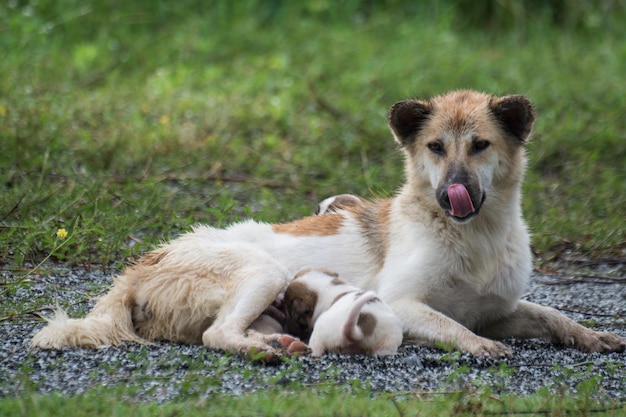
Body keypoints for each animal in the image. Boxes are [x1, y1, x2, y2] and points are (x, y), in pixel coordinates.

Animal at [33, 91, 624, 358]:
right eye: (435, 148)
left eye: (480, 145)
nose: (450, 190)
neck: (473, 236)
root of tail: (140, 265)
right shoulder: (404, 303)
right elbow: (455, 327)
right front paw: (479, 349)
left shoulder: (498, 310)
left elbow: (550, 314)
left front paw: (592, 335)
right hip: (263, 270)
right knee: (214, 335)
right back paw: (263, 351)